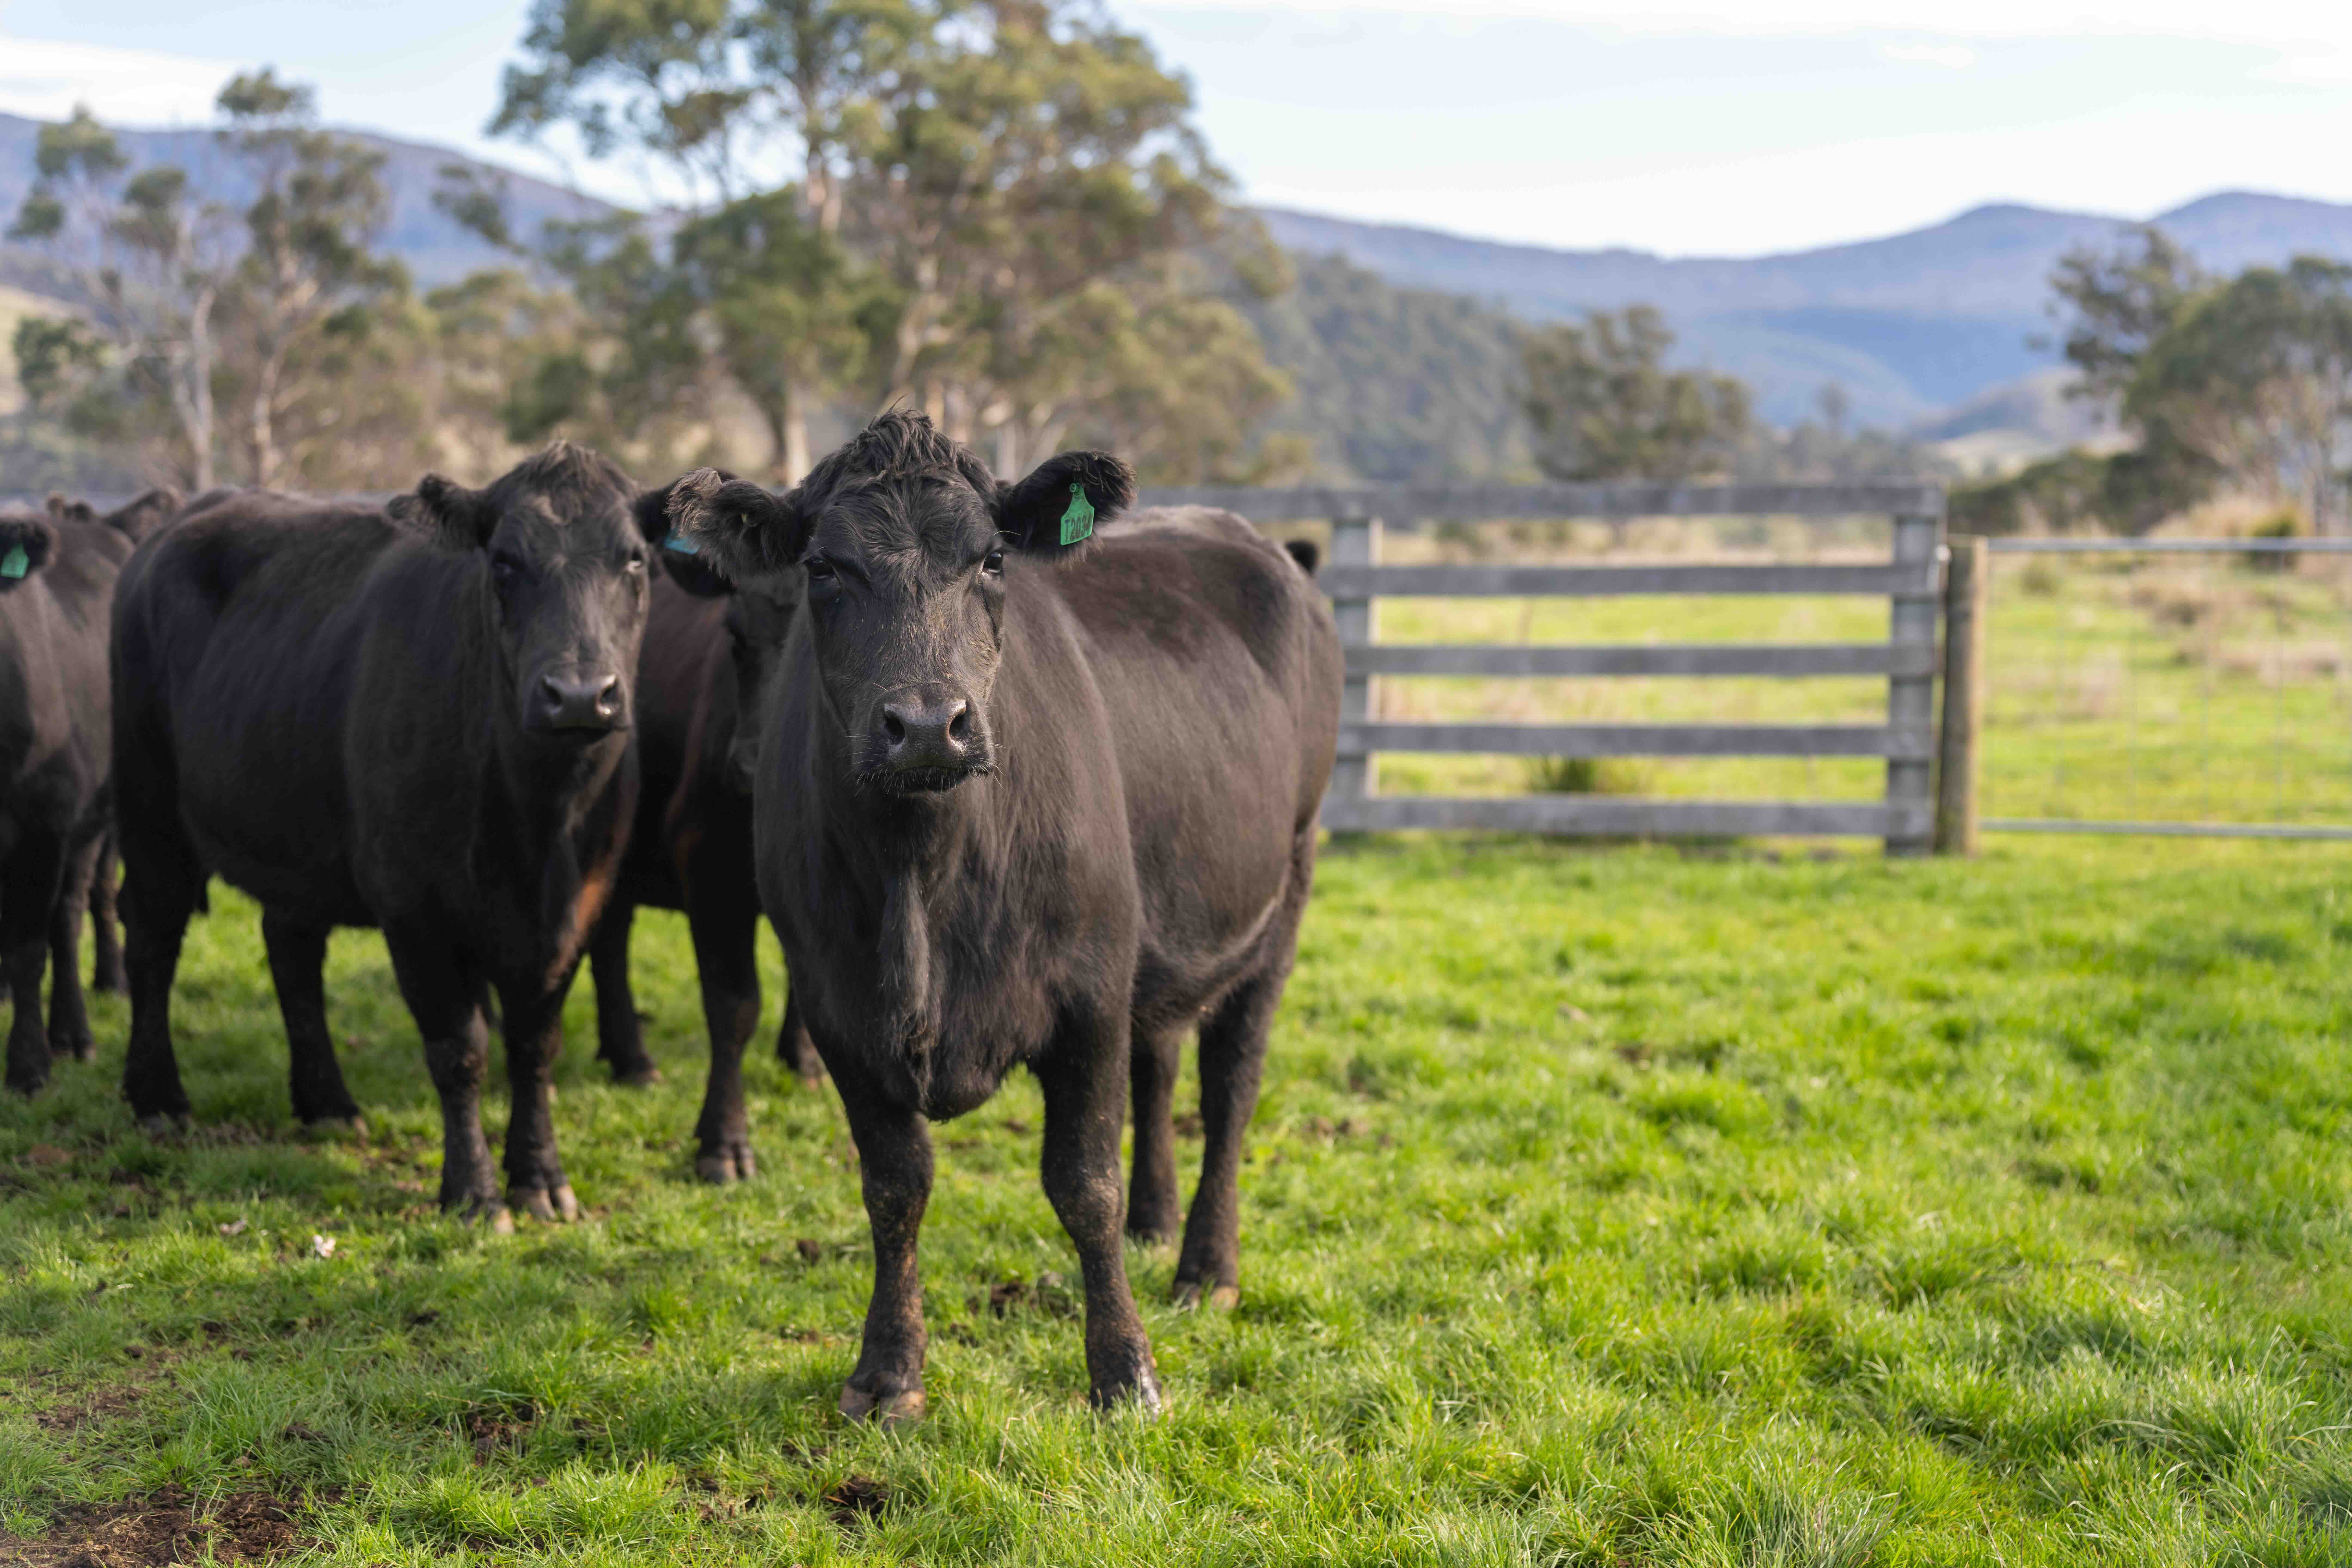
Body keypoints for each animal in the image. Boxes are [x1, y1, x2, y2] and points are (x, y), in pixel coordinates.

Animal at [111, 444, 686, 1227]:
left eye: (634, 559)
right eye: (504, 561)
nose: (577, 695)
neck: (538, 828)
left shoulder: (576, 913)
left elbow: (535, 1047)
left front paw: (540, 1179)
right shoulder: (415, 911)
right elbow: (460, 1050)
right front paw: (473, 1192)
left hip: (292, 836)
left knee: (291, 953)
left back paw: (326, 1102)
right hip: (150, 815)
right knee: (153, 938)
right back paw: (158, 1098)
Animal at [582, 554, 821, 1184]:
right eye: (735, 635)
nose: (756, 765)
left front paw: (806, 1061)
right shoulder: (712, 872)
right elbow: (734, 1009)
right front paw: (724, 1144)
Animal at [671, 411, 1341, 1418]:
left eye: (991, 560)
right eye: (825, 567)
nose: (926, 725)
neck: (922, 875)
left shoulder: (1089, 996)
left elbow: (1084, 1185)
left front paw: (1125, 1371)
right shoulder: (837, 1007)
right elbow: (895, 1187)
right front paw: (888, 1372)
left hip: (1280, 900)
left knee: (1231, 1085)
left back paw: (1205, 1267)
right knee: (1162, 1060)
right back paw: (1157, 1226)